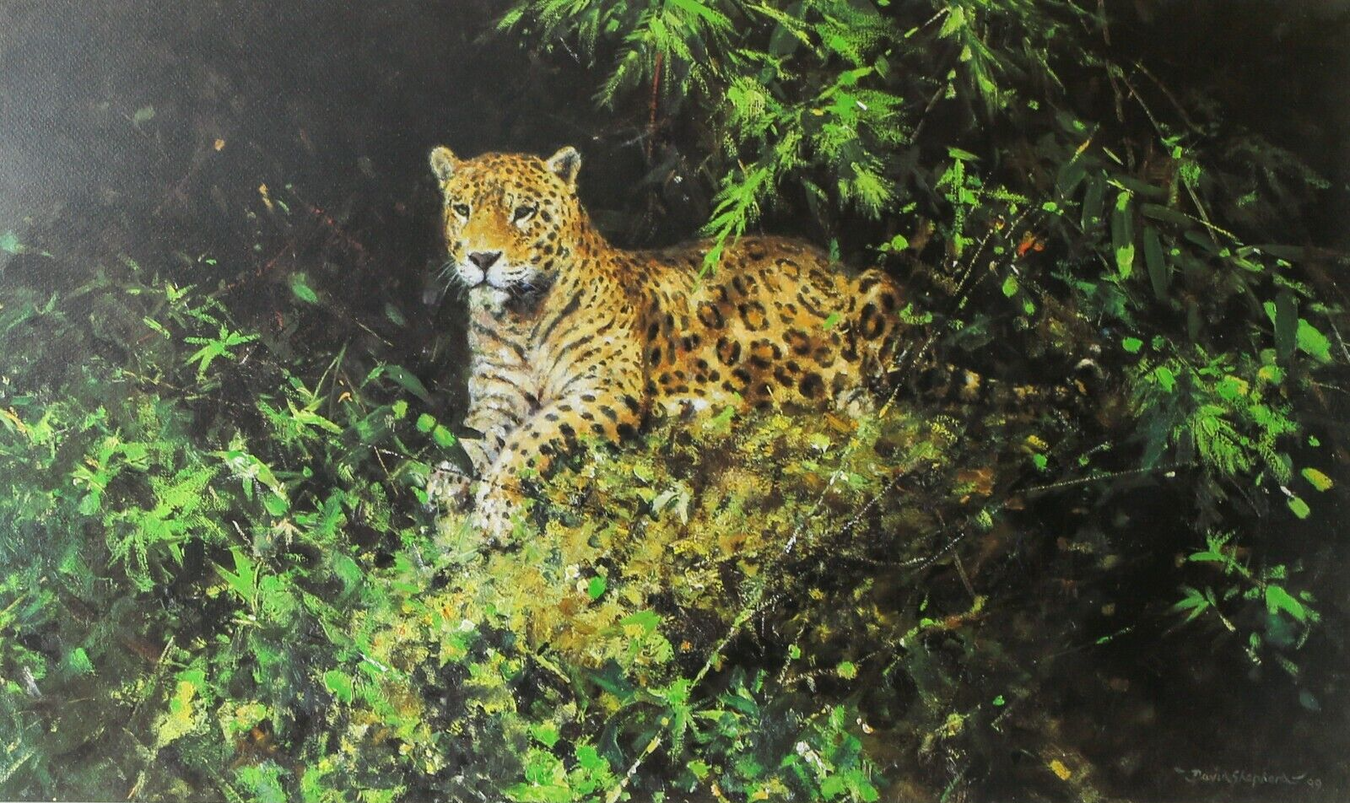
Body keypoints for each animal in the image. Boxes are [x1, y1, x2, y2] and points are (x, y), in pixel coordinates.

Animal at [426, 144, 949, 541]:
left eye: (523, 212)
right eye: (462, 210)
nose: (482, 258)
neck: (520, 316)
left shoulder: (607, 388)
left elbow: (533, 435)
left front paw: (495, 508)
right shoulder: (497, 396)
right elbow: (470, 437)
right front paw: (445, 480)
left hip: (877, 296)